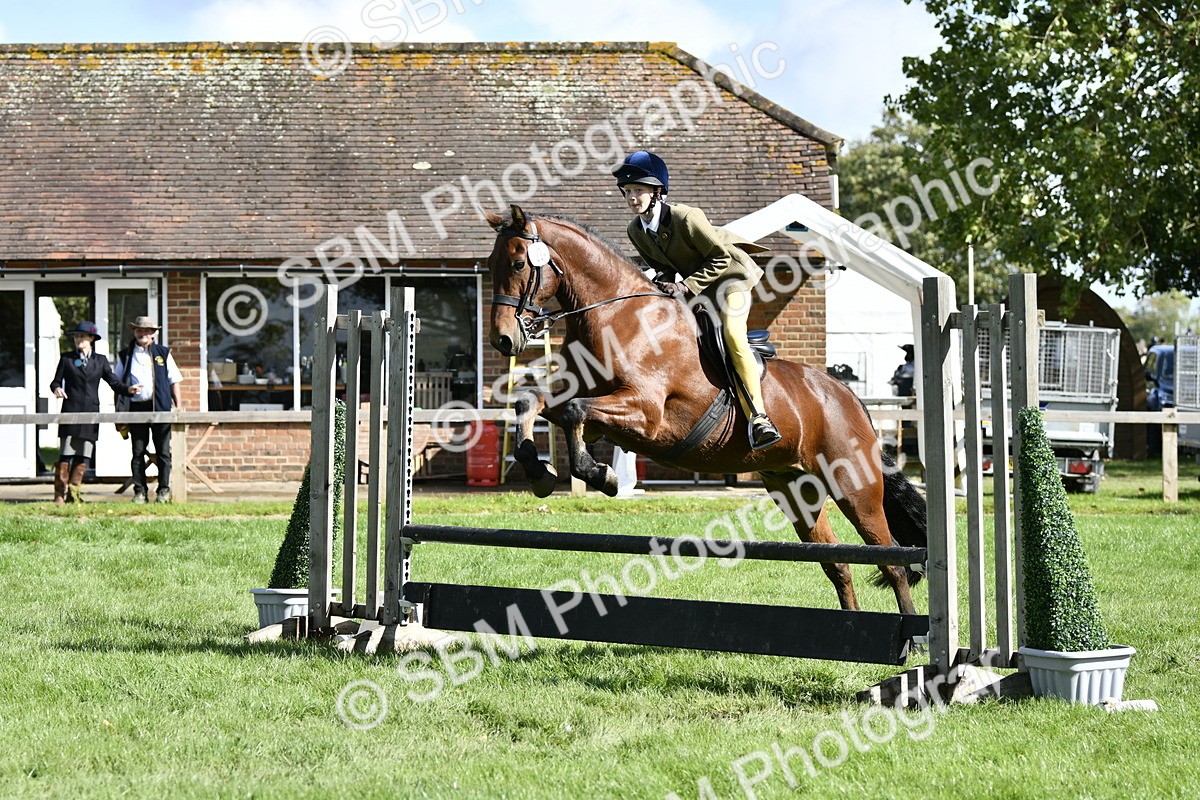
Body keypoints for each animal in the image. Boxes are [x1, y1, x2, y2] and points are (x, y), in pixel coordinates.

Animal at [483, 204, 928, 615]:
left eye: (519, 263)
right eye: (489, 264)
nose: (503, 340)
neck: (616, 316)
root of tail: (849, 398)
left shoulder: (645, 413)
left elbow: (576, 412)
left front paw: (601, 475)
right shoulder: (593, 406)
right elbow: (533, 402)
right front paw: (540, 472)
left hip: (854, 488)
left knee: (892, 563)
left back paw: (911, 641)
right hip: (795, 489)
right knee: (838, 563)